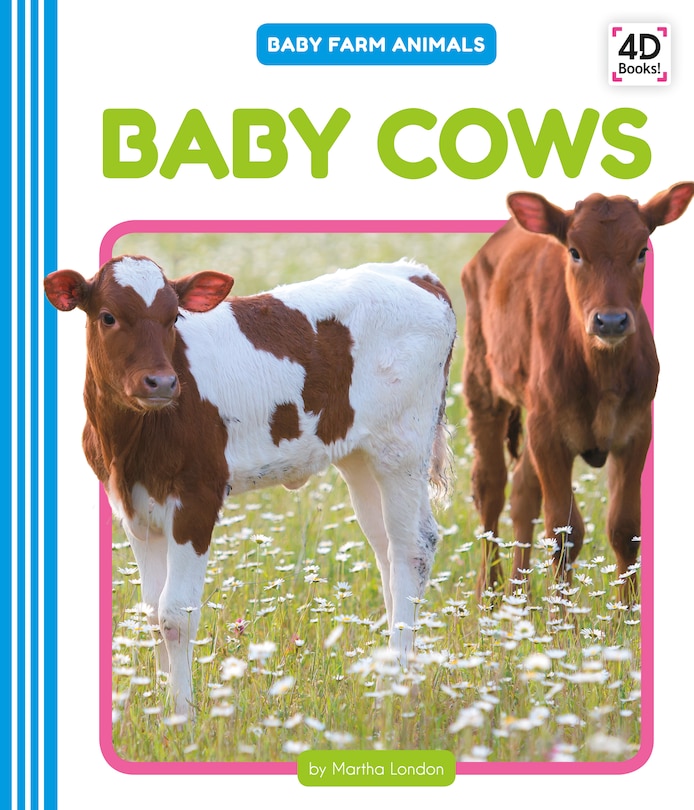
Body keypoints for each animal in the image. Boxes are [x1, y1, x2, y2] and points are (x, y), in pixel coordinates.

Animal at [44, 255, 456, 717]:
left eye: (173, 318)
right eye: (108, 316)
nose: (162, 382)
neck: (129, 445)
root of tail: (412, 272)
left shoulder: (196, 498)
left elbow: (175, 614)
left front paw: (184, 714)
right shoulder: (133, 508)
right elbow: (151, 612)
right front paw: (161, 709)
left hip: (400, 447)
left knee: (412, 549)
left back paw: (395, 686)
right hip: (359, 456)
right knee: (387, 550)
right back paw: (396, 679)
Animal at [461, 182, 694, 603]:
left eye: (642, 250)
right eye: (574, 251)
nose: (611, 320)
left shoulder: (636, 430)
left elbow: (624, 528)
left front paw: (625, 612)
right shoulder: (548, 434)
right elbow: (563, 534)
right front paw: (560, 617)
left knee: (523, 490)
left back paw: (520, 600)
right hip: (482, 386)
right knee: (490, 486)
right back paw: (490, 594)